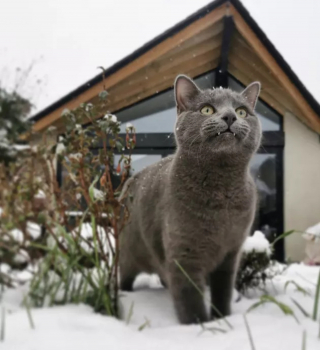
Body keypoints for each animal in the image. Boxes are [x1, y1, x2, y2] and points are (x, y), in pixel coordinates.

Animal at [119, 75, 262, 324]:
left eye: (242, 111)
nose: (230, 116)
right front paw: (198, 325)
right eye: (207, 109)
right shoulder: (184, 252)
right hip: (128, 251)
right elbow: (189, 296)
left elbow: (223, 290)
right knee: (124, 275)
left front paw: (222, 317)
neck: (221, 195)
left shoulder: (231, 252)